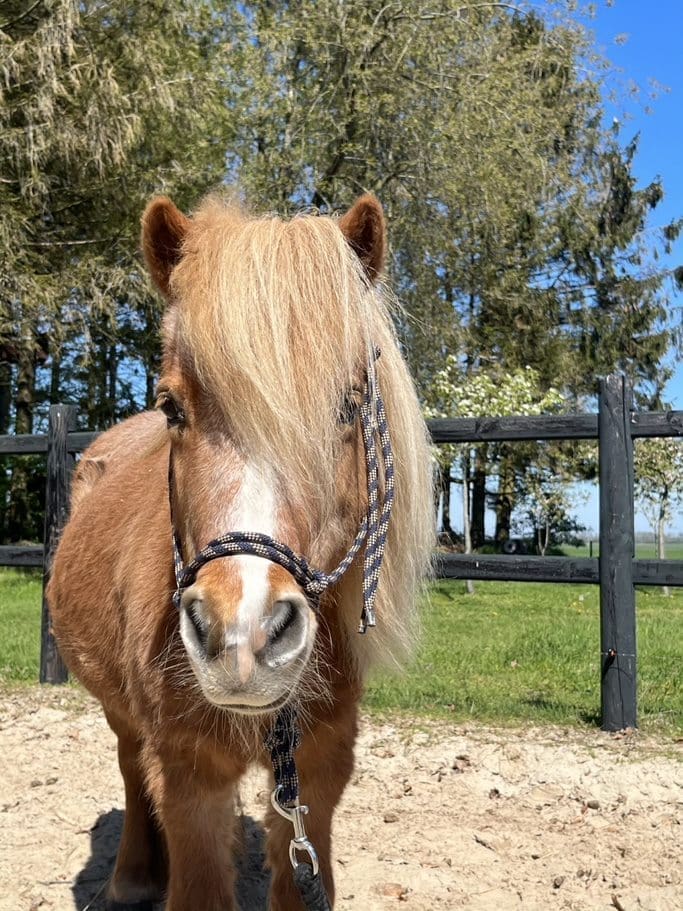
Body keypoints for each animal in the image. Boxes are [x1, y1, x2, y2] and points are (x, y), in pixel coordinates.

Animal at [47, 191, 434, 911]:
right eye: (171, 406)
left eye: (349, 407)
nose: (243, 633)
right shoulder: (190, 773)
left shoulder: (318, 772)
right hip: (118, 709)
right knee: (129, 766)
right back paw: (134, 874)